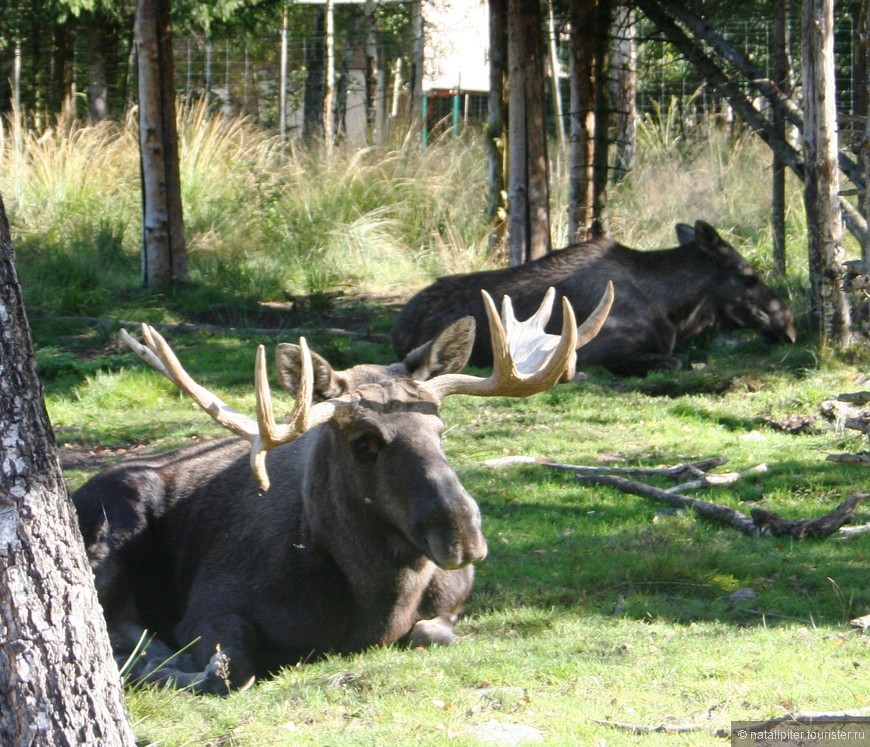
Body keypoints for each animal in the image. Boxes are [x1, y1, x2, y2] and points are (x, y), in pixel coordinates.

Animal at [73, 286, 612, 696]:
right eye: (364, 442)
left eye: (440, 428)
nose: (463, 534)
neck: (380, 604)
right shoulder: (209, 605)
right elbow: (228, 673)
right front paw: (162, 663)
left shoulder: (452, 605)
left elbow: (433, 634)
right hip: (117, 514)